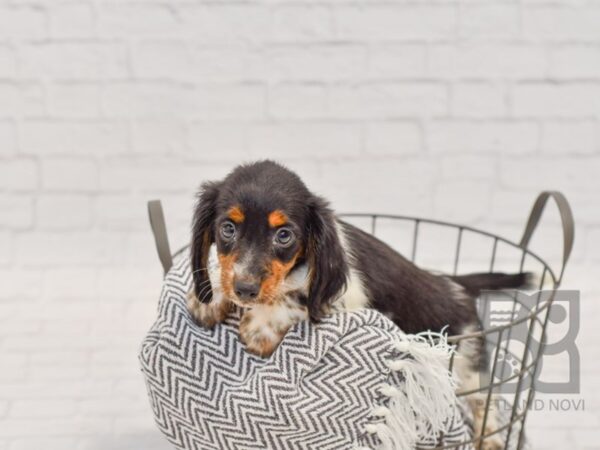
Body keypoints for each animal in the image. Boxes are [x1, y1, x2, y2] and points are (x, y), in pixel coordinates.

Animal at [190, 160, 528, 448]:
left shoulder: (342, 299)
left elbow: (297, 297)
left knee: (485, 401)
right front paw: (210, 296)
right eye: (228, 228)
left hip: (467, 361)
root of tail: (455, 285)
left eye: (284, 235)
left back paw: (492, 439)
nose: (245, 290)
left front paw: (261, 326)